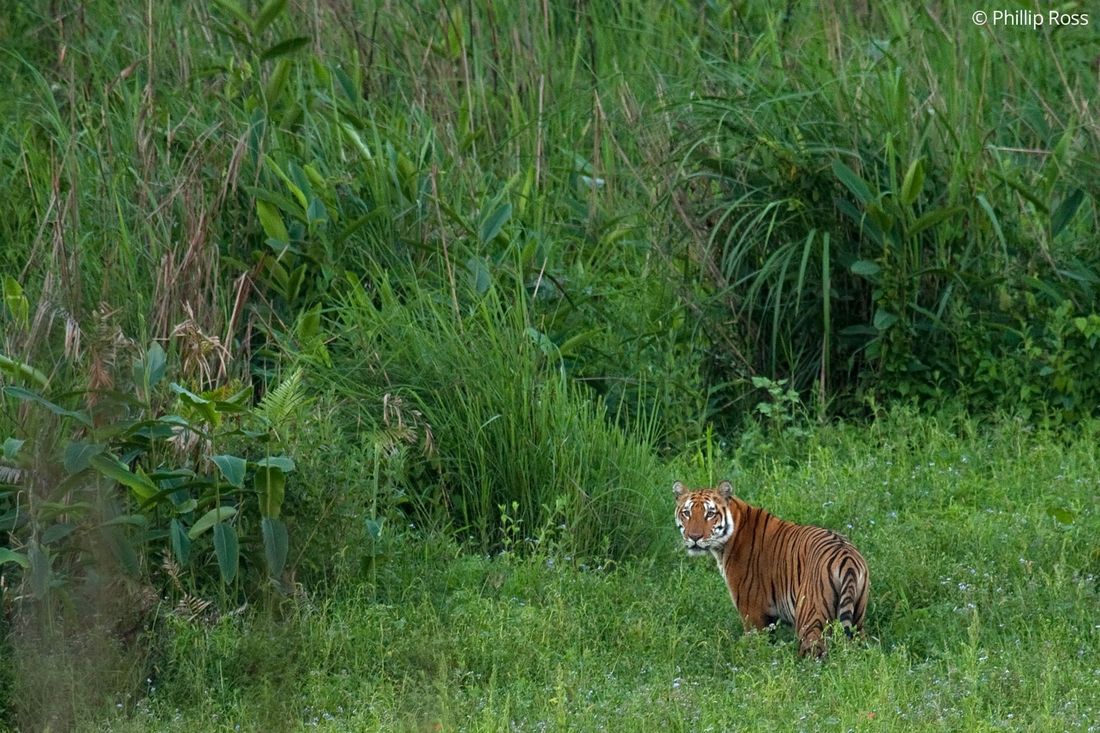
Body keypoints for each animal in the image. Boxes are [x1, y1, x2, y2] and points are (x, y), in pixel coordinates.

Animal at [673, 479, 869, 657]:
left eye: (710, 514)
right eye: (687, 513)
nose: (694, 537)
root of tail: (847, 558)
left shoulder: (752, 613)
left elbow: (757, 647)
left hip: (810, 618)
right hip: (857, 619)